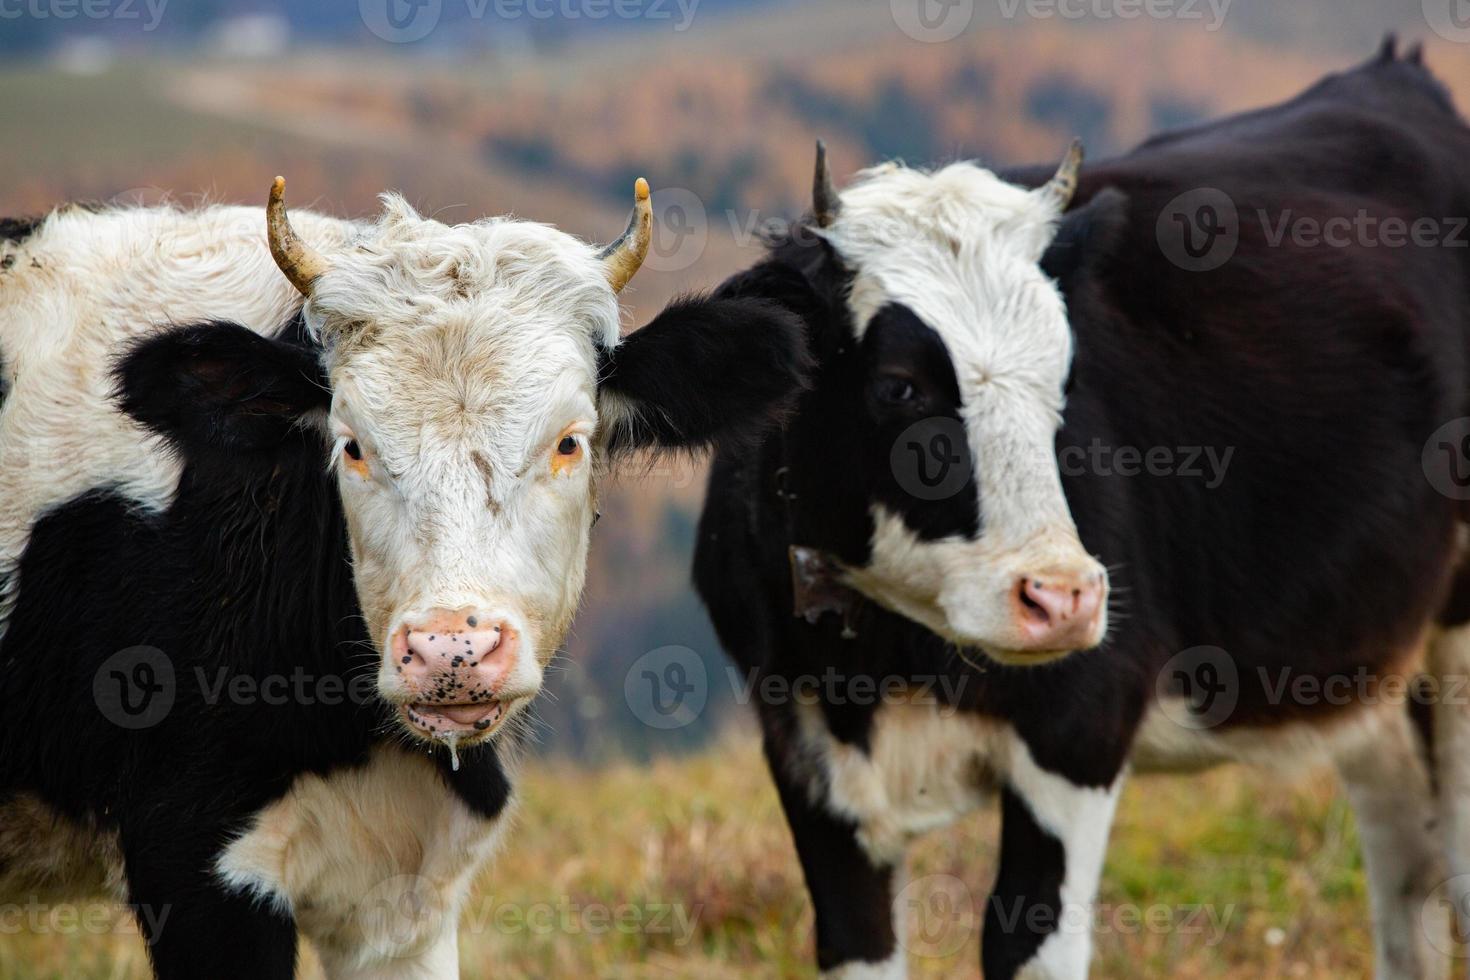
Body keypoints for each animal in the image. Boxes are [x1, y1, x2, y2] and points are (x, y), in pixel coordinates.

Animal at [693, 40, 1470, 980]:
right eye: (899, 385)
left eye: (1065, 372)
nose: (1062, 597)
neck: (885, 662)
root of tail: (1395, 70)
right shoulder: (806, 756)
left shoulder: (1078, 732)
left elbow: (1025, 943)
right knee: (1409, 867)